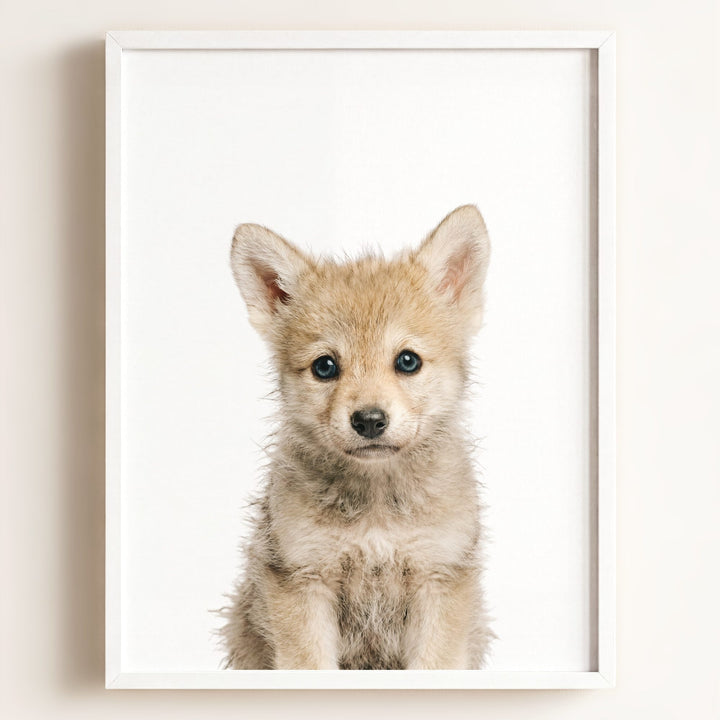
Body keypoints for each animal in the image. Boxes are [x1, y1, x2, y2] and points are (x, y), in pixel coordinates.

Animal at [221, 205, 493, 669]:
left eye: (407, 361)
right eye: (325, 367)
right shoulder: (303, 579)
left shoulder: (439, 577)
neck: (376, 510)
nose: (368, 420)